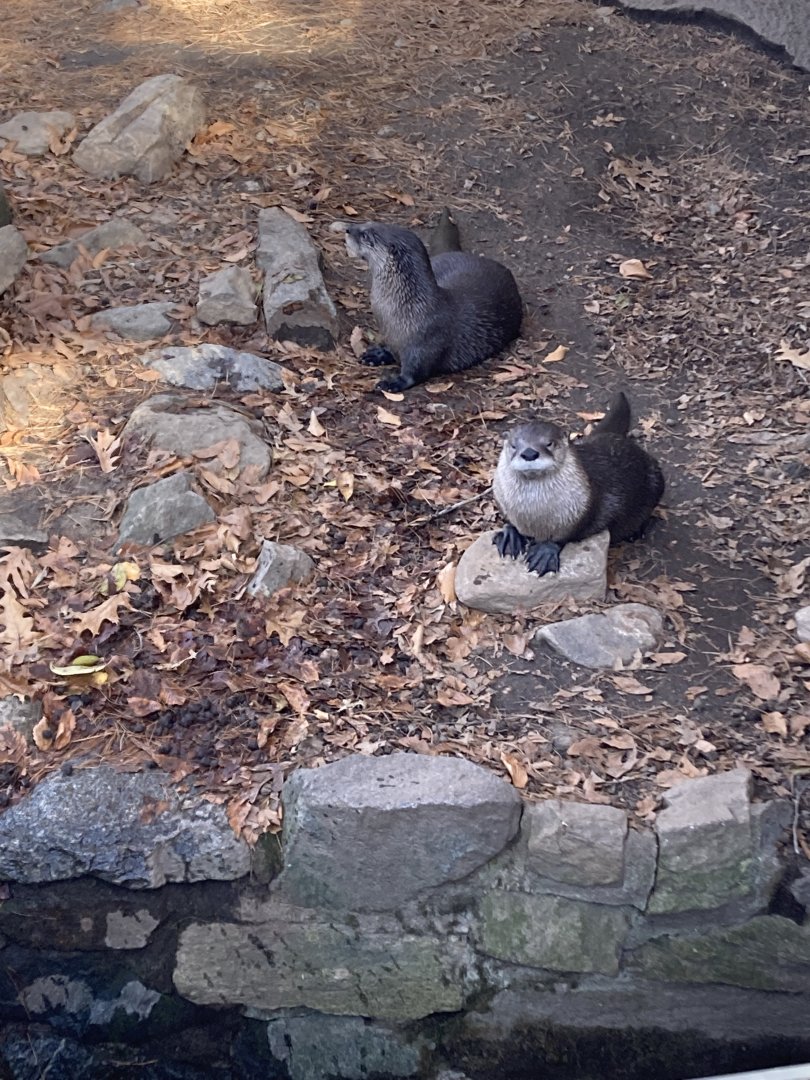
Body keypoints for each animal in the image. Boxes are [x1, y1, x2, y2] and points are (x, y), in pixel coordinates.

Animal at [345, 220, 522, 393]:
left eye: (365, 235)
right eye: (366, 223)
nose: (347, 229)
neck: (408, 309)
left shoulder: (426, 341)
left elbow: (414, 373)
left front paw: (392, 383)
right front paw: (378, 354)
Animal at [492, 392, 665, 576]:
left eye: (549, 443)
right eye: (513, 445)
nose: (529, 453)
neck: (532, 515)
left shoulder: (581, 510)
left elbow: (565, 536)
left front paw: (545, 551)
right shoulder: (501, 501)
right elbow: (510, 522)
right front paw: (510, 534)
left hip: (656, 480)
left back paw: (636, 531)